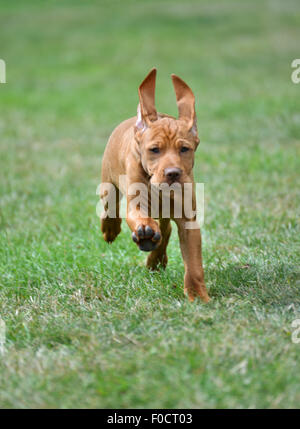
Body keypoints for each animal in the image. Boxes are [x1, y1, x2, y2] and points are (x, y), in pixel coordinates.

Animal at [99, 68, 210, 300]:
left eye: (184, 149)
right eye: (154, 150)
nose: (173, 173)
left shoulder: (188, 220)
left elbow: (194, 264)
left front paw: (198, 296)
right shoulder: (136, 204)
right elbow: (139, 217)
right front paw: (144, 230)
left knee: (165, 228)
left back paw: (155, 258)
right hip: (107, 181)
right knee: (109, 205)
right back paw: (113, 229)